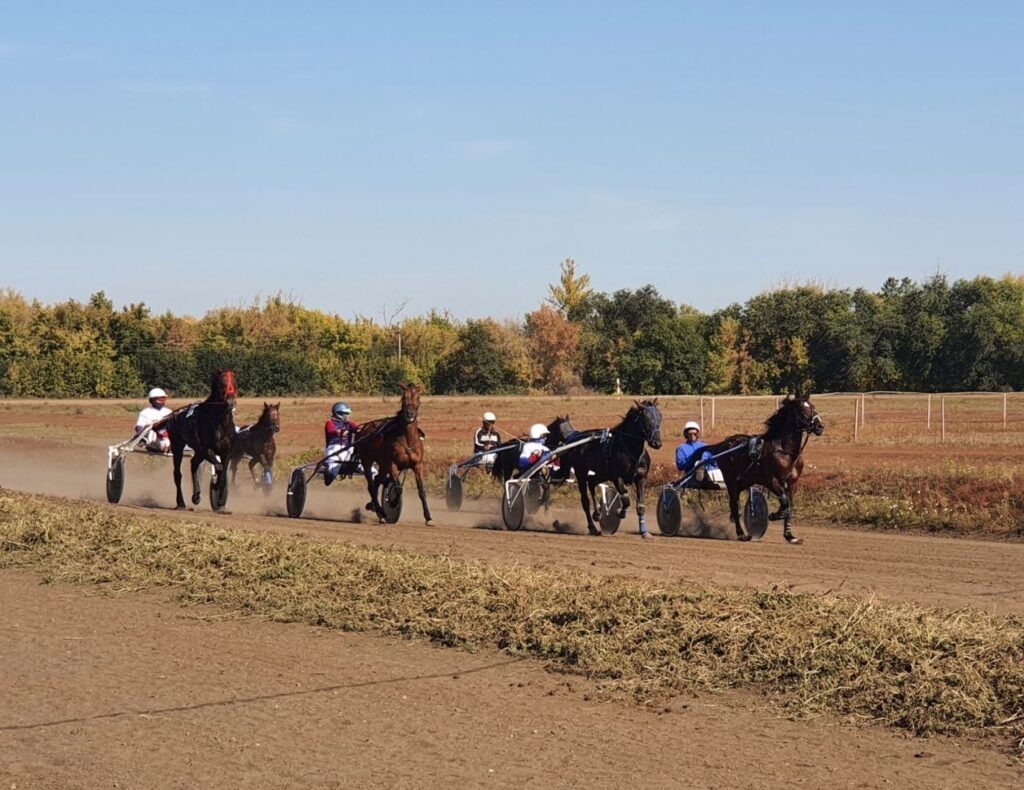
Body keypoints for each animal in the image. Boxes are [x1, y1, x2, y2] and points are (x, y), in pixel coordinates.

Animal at [354, 383, 434, 524]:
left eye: (418, 398)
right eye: (403, 397)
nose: (410, 413)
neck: (408, 440)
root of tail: (363, 429)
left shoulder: (418, 465)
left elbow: (422, 491)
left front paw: (428, 517)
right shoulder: (392, 465)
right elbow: (398, 489)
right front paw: (391, 503)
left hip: (382, 465)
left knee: (376, 481)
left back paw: (374, 507)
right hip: (367, 461)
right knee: (371, 485)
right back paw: (381, 511)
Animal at [557, 401, 659, 536]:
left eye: (660, 417)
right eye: (647, 418)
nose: (657, 442)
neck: (632, 452)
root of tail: (576, 437)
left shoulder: (641, 477)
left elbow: (641, 505)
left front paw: (644, 531)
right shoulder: (617, 477)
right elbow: (626, 499)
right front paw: (620, 512)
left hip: (597, 475)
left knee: (592, 488)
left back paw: (597, 513)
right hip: (581, 475)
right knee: (585, 501)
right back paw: (592, 527)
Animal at [704, 393, 823, 545]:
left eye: (813, 407)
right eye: (803, 409)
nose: (820, 426)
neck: (785, 451)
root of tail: (724, 443)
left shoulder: (792, 482)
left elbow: (790, 506)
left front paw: (790, 535)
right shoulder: (771, 480)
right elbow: (785, 502)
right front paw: (774, 515)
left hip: (744, 481)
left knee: (735, 504)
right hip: (730, 481)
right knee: (734, 505)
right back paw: (741, 534)